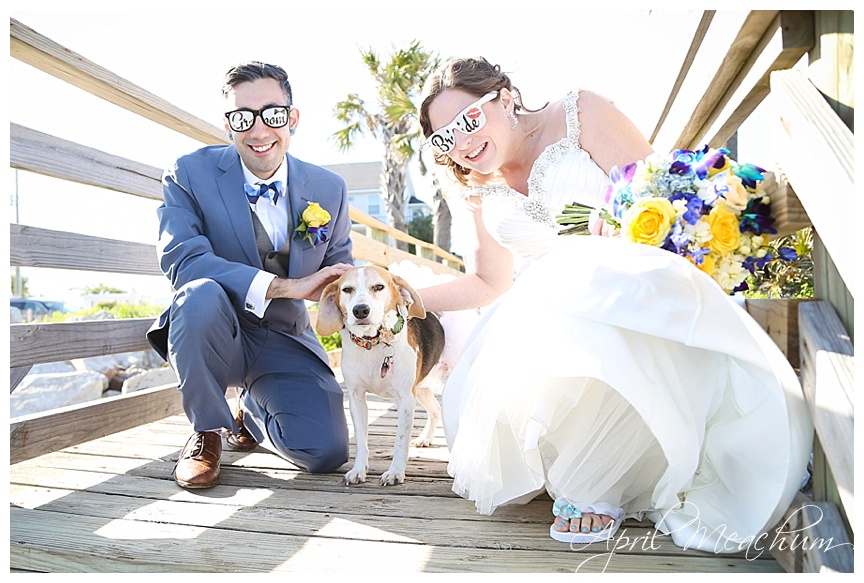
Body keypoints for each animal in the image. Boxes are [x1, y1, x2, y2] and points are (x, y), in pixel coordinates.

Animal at [314, 266, 446, 486]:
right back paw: (425, 438)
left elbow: (400, 440)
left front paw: (395, 473)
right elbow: (361, 439)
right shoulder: (356, 398)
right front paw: (358, 470)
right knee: (435, 410)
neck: (371, 344)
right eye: (347, 289)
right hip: (421, 389)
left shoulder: (405, 399)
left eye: (378, 287)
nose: (360, 310)